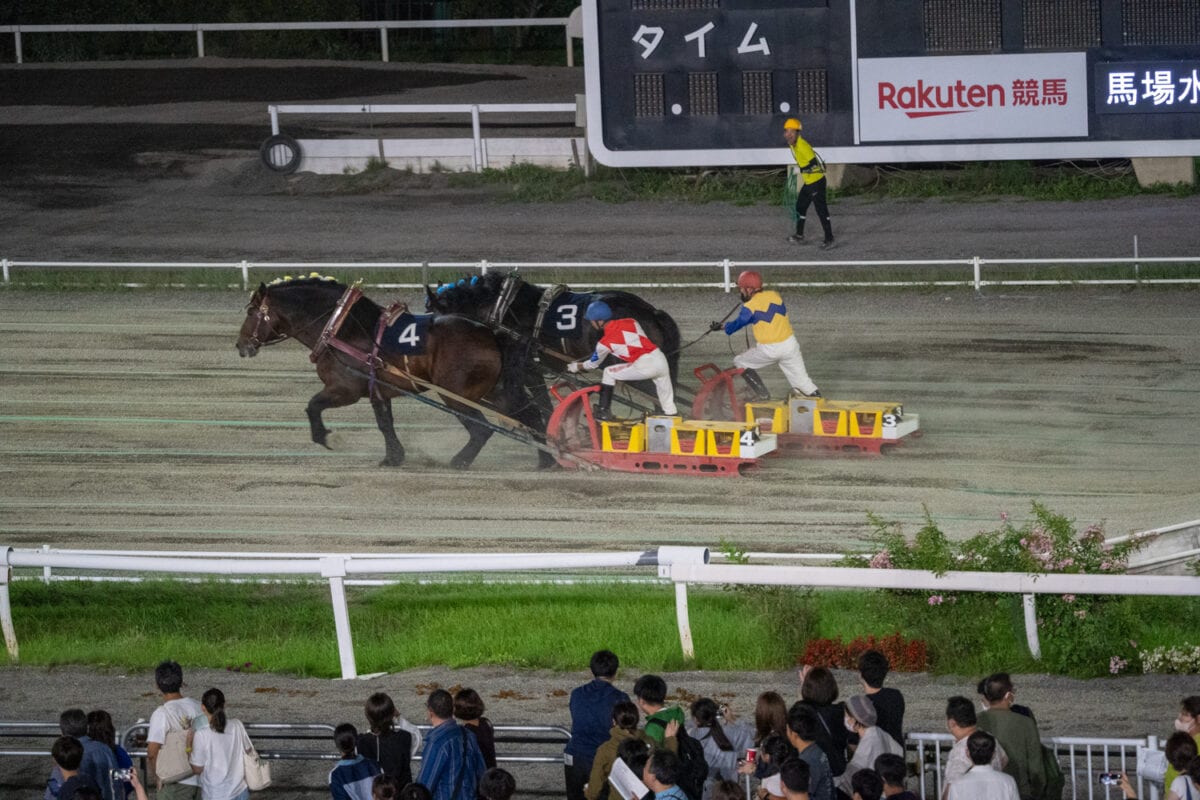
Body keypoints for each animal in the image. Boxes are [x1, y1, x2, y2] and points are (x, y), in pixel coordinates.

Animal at [236, 275, 554, 469]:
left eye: (251, 312)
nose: (241, 345)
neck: (342, 328)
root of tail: (491, 334)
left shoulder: (344, 389)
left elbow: (312, 405)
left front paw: (324, 436)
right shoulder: (378, 390)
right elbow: (384, 423)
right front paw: (393, 457)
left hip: (456, 394)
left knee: (481, 429)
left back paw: (459, 461)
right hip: (494, 390)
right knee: (529, 416)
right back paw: (546, 459)